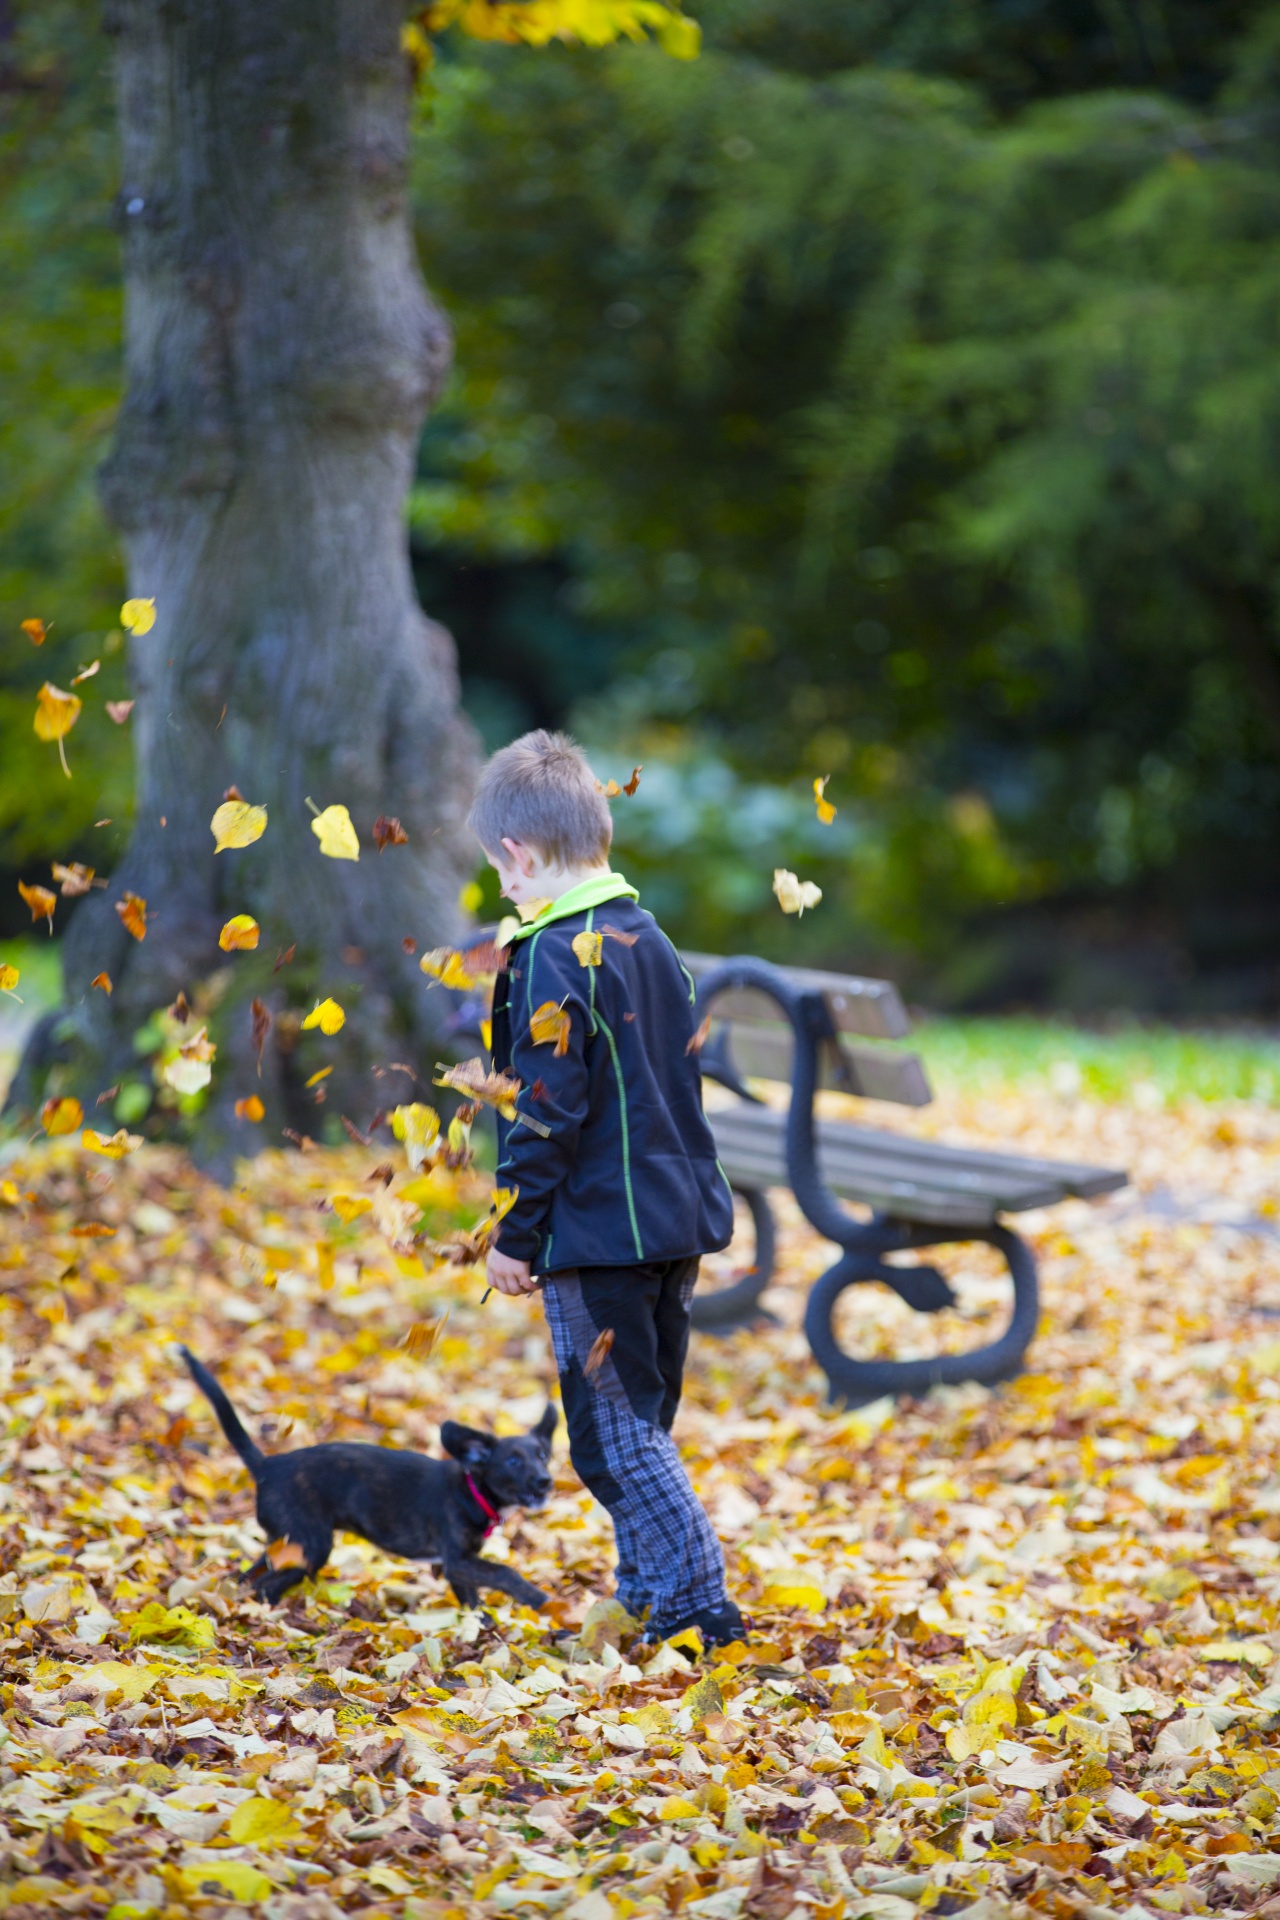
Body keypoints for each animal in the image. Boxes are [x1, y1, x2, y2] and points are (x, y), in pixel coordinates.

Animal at [179, 1351, 556, 1605]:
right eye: (512, 1461)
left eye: (542, 1455)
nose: (545, 1482)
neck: (472, 1488)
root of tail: (267, 1465)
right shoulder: (457, 1561)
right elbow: (505, 1572)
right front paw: (540, 1601)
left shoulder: (458, 1568)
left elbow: (473, 1604)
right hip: (312, 1544)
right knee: (267, 1585)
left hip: (287, 1541)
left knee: (251, 1574)